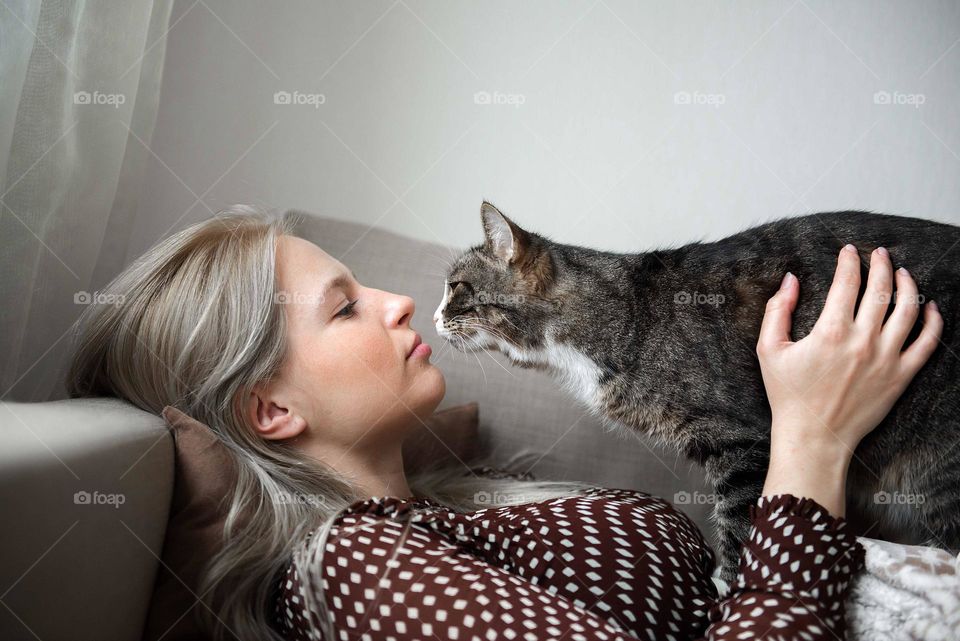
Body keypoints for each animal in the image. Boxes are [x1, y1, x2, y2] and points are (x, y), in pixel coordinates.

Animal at [436, 200, 960, 580]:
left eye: (456, 286)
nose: (436, 317)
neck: (618, 315)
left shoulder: (745, 443)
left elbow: (740, 529)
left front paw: (728, 592)